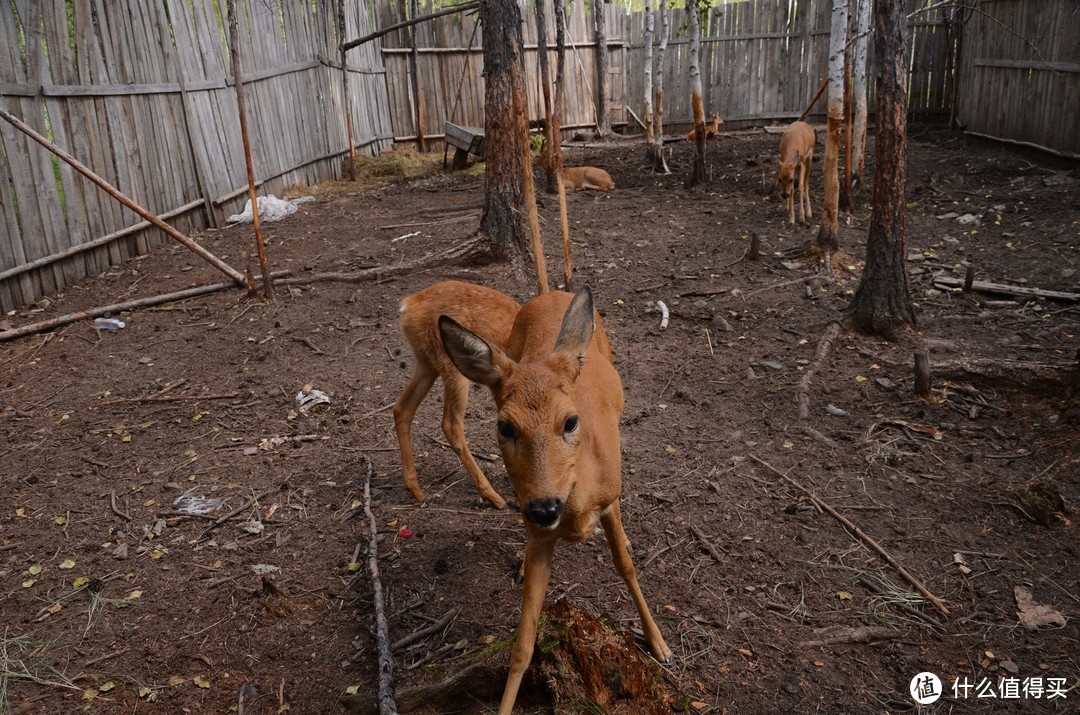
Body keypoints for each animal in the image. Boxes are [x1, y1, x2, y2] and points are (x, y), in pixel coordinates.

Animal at [395, 280, 520, 509]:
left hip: (426, 362)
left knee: (402, 408)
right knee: (450, 424)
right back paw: (492, 496)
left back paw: (415, 490)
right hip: (452, 366)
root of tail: (409, 305)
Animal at [440, 287, 673, 715]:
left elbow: (626, 567)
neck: (575, 506)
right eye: (504, 426)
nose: (545, 507)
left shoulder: (609, 499)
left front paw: (659, 643)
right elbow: (522, 644)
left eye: (570, 421)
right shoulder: (539, 532)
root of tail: (551, 293)